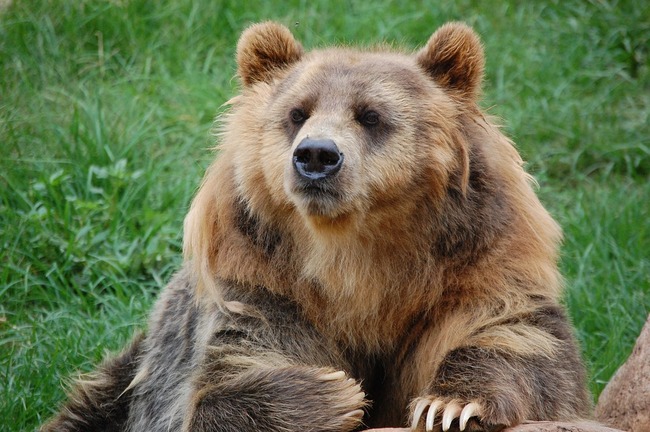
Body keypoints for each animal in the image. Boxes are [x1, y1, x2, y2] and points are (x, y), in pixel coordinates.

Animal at [41, 21, 591, 432]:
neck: (356, 260)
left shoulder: (478, 269)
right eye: (296, 113)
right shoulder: (263, 291)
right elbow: (221, 382)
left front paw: (450, 405)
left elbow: (519, 339)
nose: (317, 156)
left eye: (370, 115)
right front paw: (332, 392)